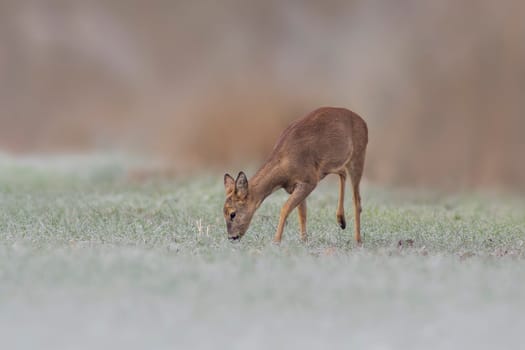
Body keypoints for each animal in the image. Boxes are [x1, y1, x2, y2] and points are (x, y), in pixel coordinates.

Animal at [223, 106, 366, 243]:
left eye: (232, 214)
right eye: (223, 212)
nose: (232, 237)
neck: (284, 166)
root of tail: (363, 123)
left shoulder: (309, 181)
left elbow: (285, 208)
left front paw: (276, 241)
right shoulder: (295, 186)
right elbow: (302, 214)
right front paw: (304, 241)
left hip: (358, 156)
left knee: (357, 201)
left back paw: (358, 240)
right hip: (331, 165)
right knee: (343, 173)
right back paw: (341, 221)